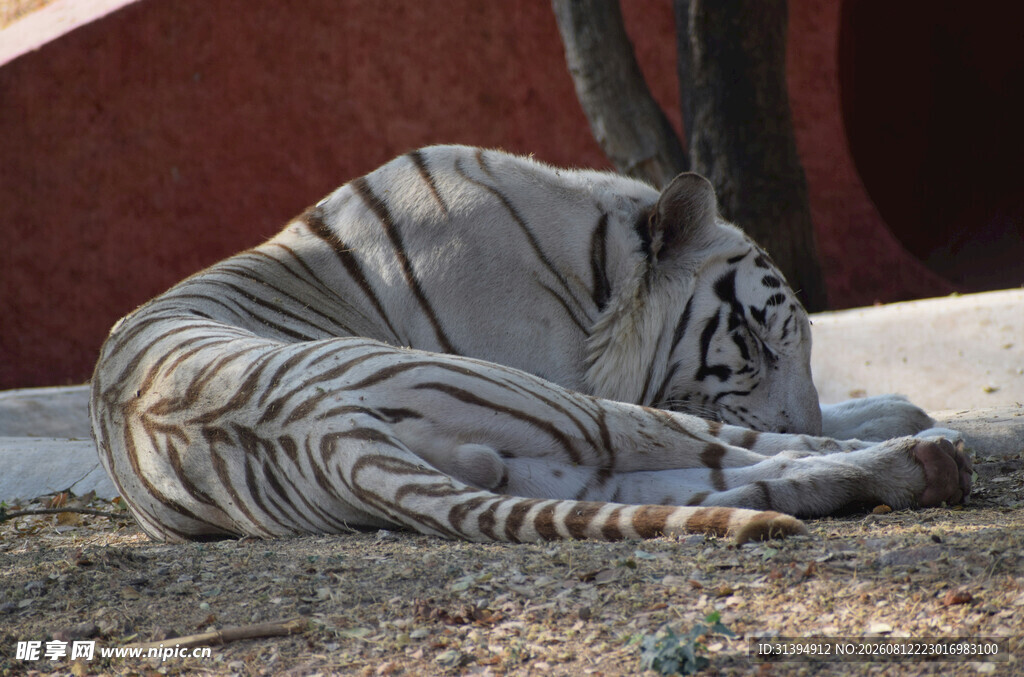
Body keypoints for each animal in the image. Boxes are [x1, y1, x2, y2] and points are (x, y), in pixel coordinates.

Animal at [89, 145, 972, 544]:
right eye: (754, 341)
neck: (589, 261)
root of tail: (324, 435)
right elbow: (779, 424)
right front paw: (895, 416)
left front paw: (885, 405)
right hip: (566, 410)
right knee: (744, 452)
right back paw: (928, 456)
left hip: (547, 459)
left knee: (731, 481)